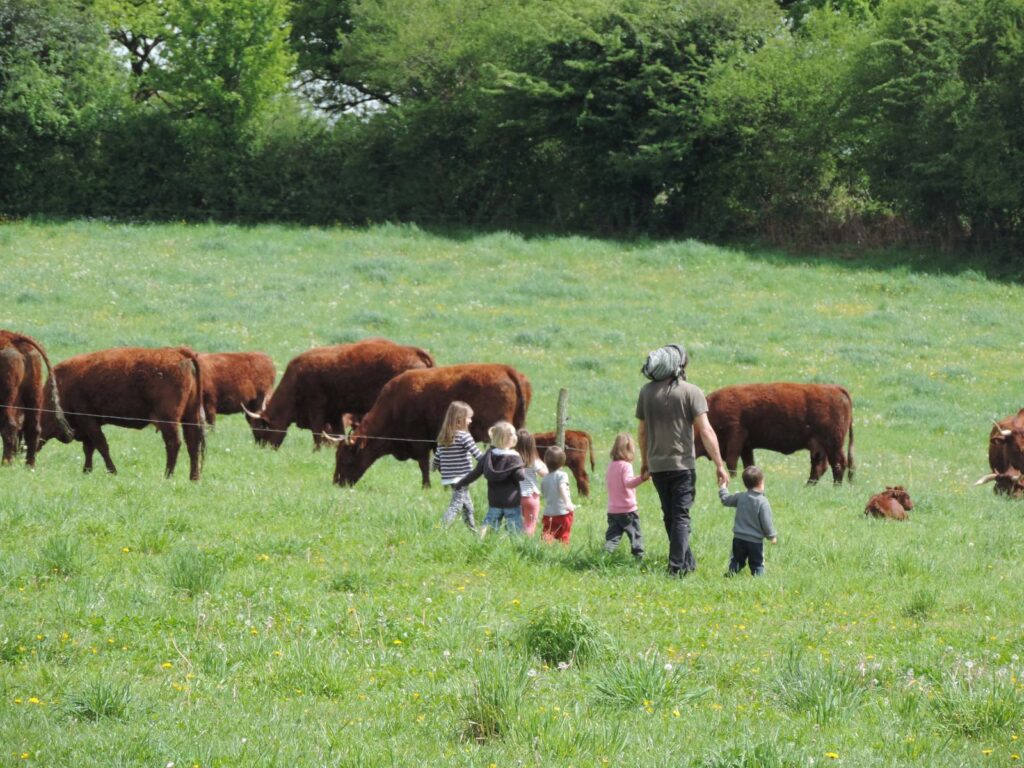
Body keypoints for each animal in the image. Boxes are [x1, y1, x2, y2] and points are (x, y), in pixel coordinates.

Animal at [0, 331, 71, 466]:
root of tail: (12, 336)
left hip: (7, 398)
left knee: (10, 426)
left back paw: (6, 463)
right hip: (34, 393)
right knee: (34, 428)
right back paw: (30, 465)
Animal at [38, 346, 206, 480]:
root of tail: (179, 352)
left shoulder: (88, 421)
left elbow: (101, 446)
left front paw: (112, 471)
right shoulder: (89, 425)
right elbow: (89, 448)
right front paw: (87, 471)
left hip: (169, 420)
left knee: (173, 444)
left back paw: (168, 476)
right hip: (190, 416)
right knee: (193, 444)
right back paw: (194, 478)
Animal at [242, 338, 434, 449]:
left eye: (261, 429)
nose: (264, 448)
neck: (296, 378)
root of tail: (416, 352)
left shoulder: (316, 408)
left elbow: (317, 433)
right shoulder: (335, 413)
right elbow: (337, 433)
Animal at [327, 363, 532, 488]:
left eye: (346, 459)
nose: (336, 483)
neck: (394, 405)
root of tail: (506, 369)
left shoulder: (420, 441)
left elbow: (424, 465)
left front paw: (426, 486)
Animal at [695, 382, 855, 484]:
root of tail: (836, 388)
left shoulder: (736, 437)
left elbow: (731, 462)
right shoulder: (747, 446)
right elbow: (748, 464)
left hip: (833, 444)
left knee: (838, 464)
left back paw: (835, 487)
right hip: (819, 446)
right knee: (820, 467)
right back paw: (808, 486)